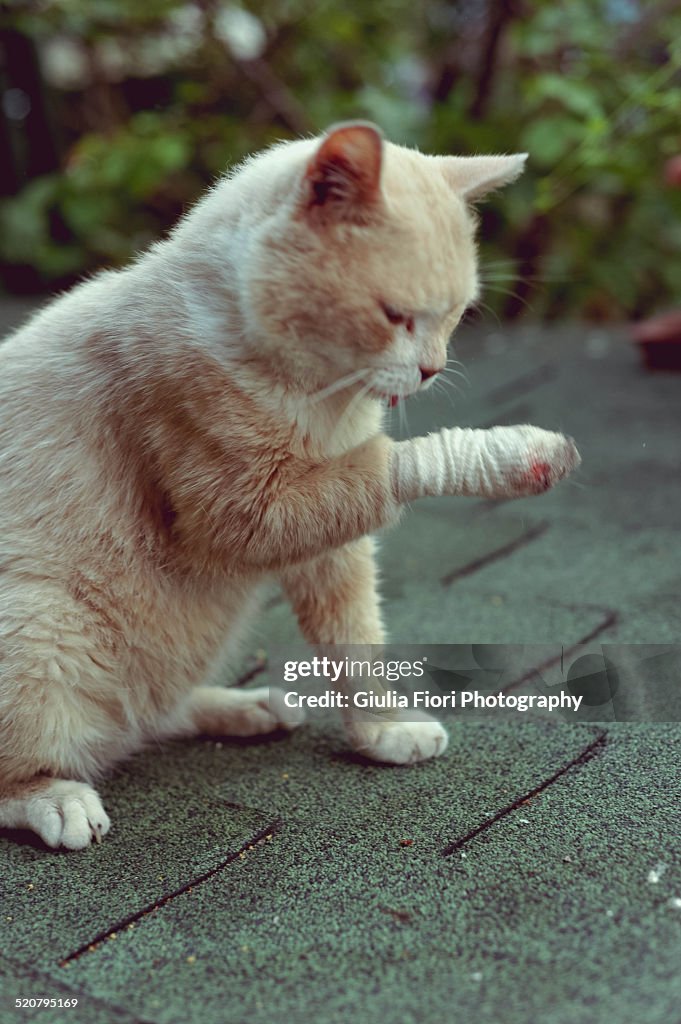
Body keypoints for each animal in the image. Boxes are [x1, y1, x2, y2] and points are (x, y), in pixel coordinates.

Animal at [0, 123, 577, 851]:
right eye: (395, 315)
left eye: (456, 315)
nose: (430, 369)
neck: (319, 395)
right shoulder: (246, 516)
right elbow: (394, 464)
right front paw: (513, 455)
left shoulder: (332, 548)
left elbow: (356, 642)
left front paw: (382, 732)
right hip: (41, 621)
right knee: (34, 767)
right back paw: (58, 799)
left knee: (149, 716)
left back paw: (249, 708)